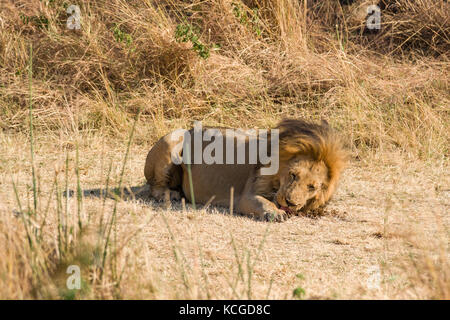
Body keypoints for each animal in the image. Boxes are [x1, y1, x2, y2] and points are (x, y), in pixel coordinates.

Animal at [144, 119, 348, 221]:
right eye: (292, 175)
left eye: (312, 187)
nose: (290, 203)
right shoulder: (246, 196)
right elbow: (262, 203)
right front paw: (275, 213)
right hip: (173, 136)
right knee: (155, 187)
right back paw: (170, 194)